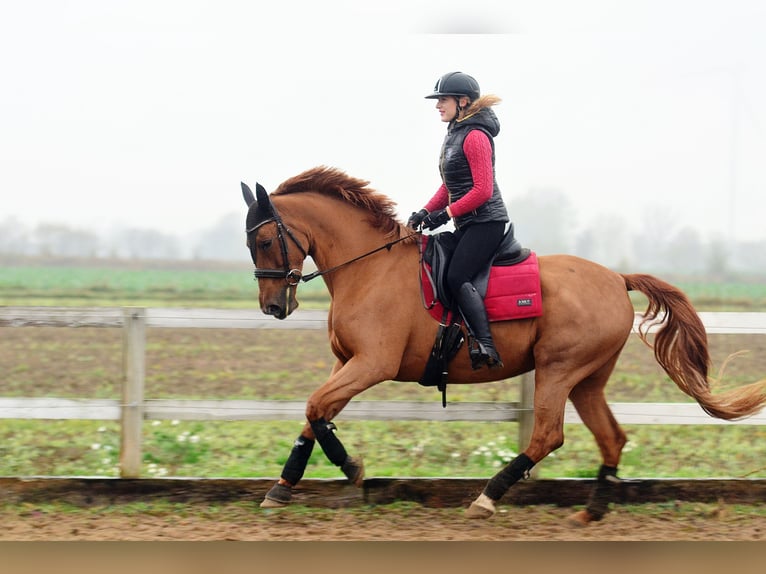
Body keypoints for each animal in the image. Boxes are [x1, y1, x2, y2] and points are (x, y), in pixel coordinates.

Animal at [242, 166, 766, 528]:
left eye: (265, 239)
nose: (273, 306)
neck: (369, 268)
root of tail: (617, 278)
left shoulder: (372, 364)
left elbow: (316, 409)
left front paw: (351, 467)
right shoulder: (345, 363)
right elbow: (314, 414)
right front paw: (283, 487)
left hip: (558, 370)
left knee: (547, 436)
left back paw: (487, 498)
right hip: (587, 380)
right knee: (611, 438)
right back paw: (591, 513)